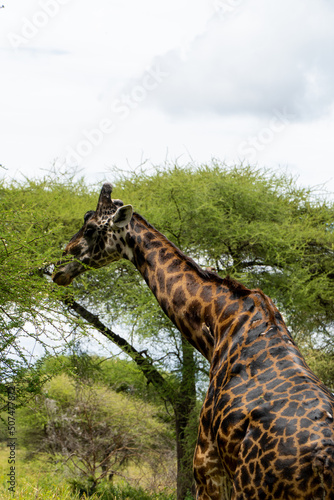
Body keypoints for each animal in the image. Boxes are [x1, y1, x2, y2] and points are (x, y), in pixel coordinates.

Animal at [52, 184, 334, 500]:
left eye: (89, 228)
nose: (58, 266)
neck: (222, 324)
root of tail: (325, 463)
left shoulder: (206, 466)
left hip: (252, 489)